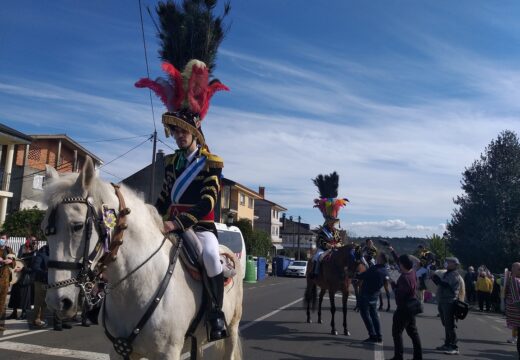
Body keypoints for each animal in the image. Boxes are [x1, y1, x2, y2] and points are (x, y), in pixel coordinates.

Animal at [42, 158, 244, 360]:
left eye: (77, 226)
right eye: (45, 231)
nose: (57, 302)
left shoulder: (168, 353)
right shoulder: (118, 352)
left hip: (232, 330)